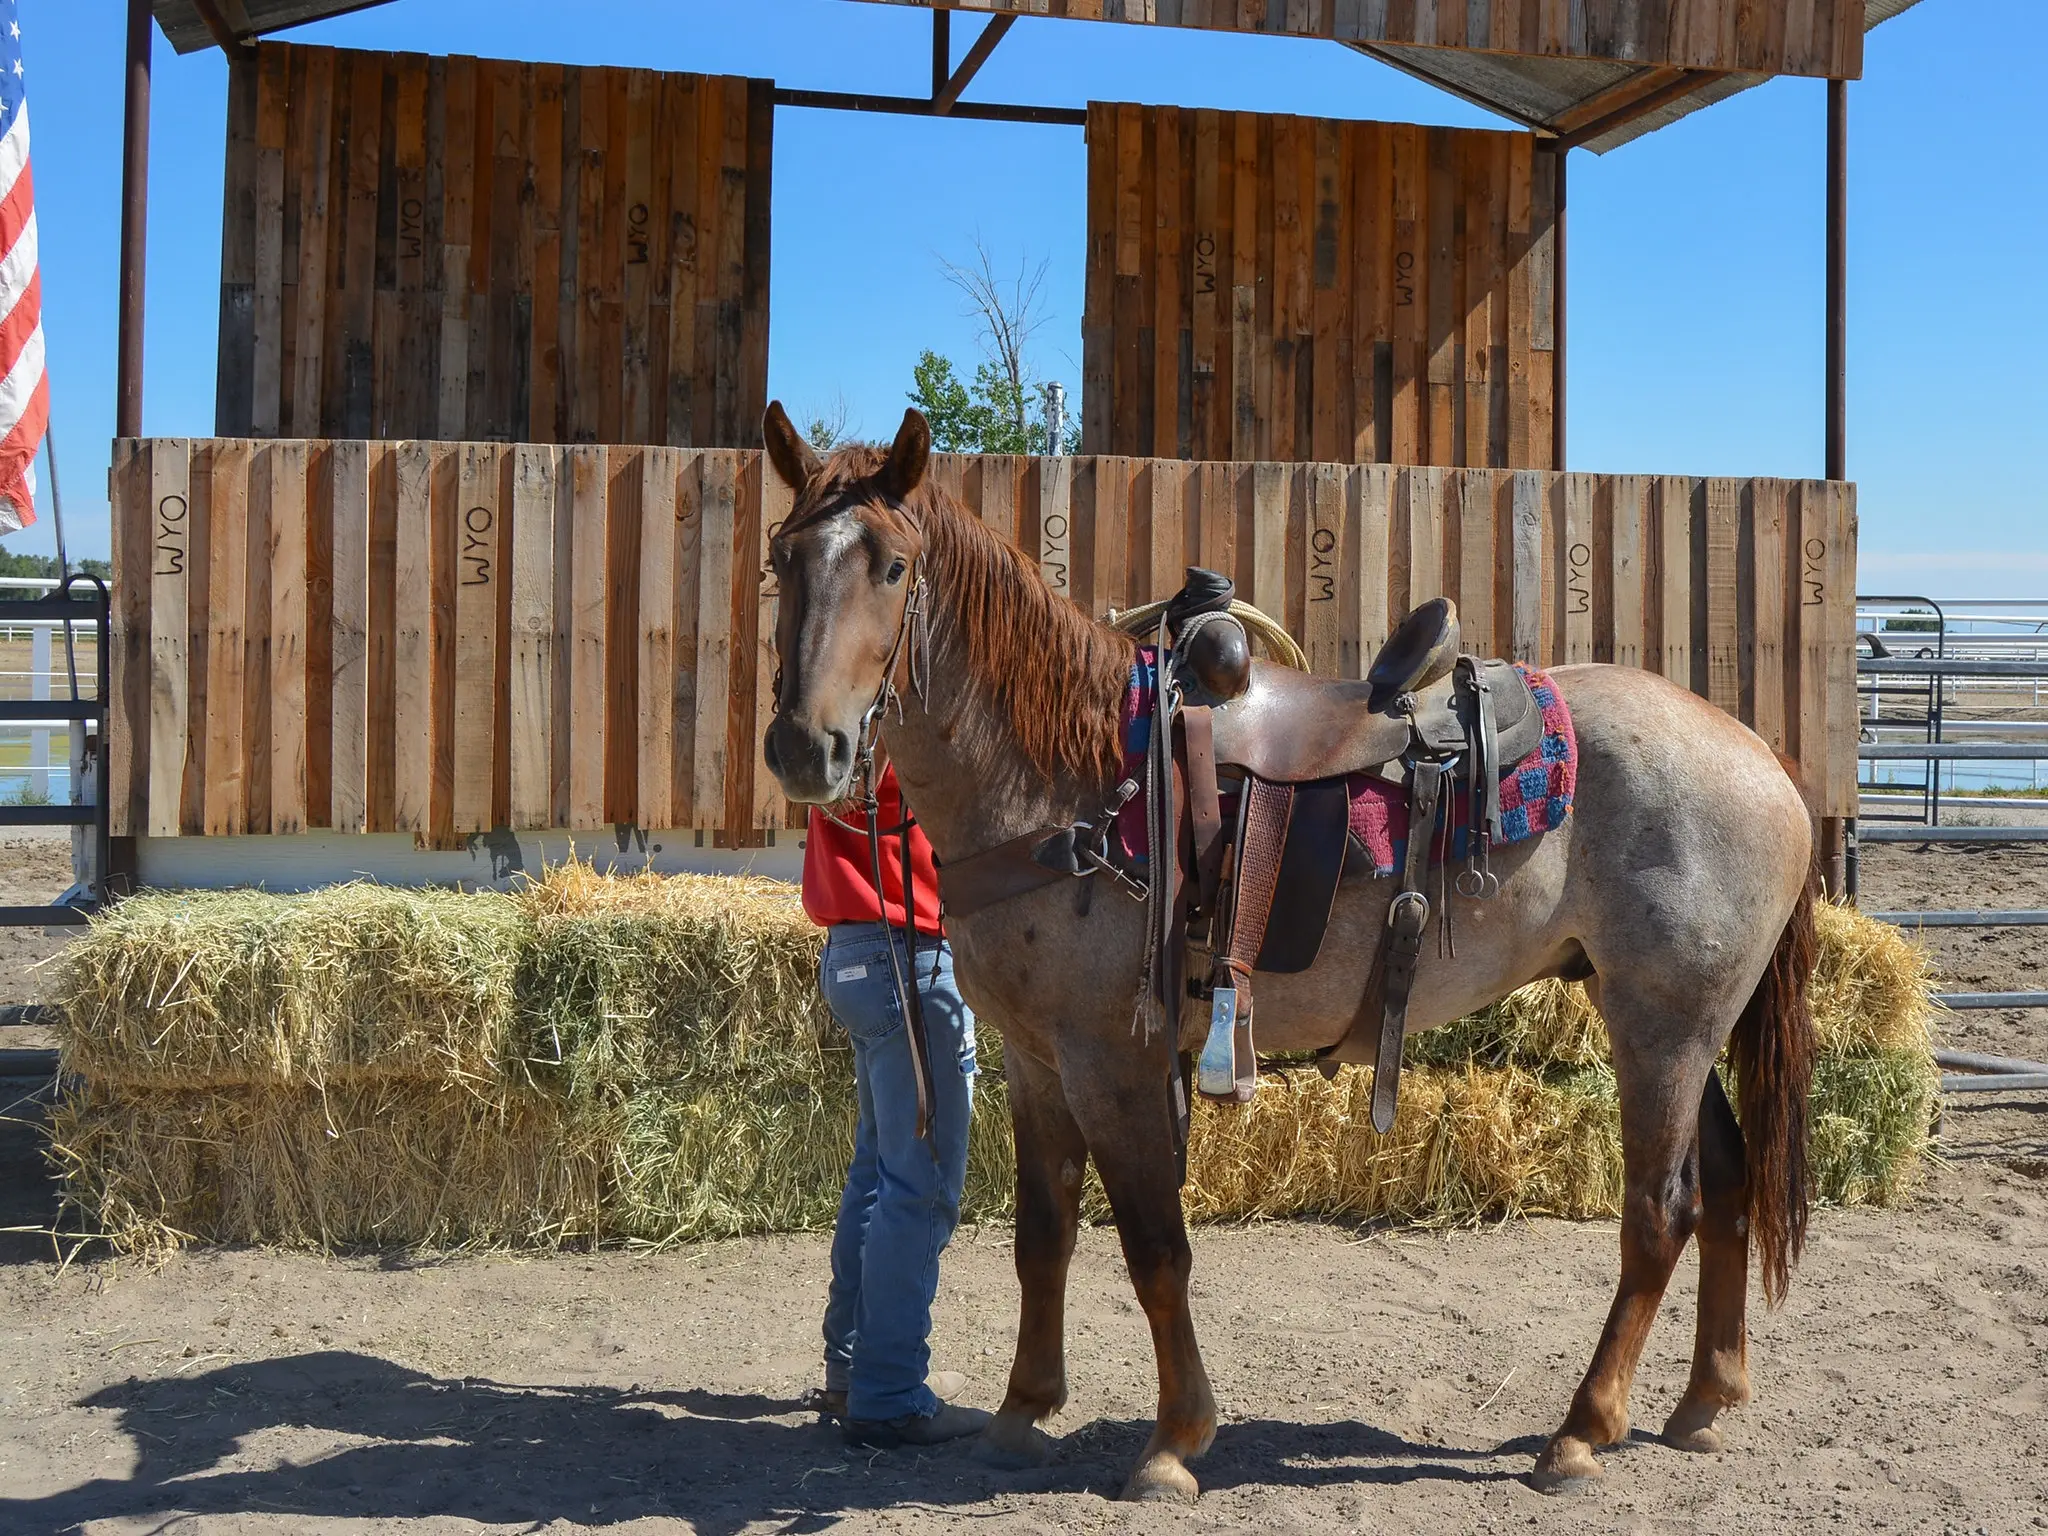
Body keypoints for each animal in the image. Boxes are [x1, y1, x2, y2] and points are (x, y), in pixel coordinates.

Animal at [761, 405, 1818, 1507]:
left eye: (891, 566)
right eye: (780, 557)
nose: (805, 747)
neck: (1069, 782)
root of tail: (1762, 755)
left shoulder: (1112, 1061)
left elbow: (1153, 1247)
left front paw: (1173, 1442)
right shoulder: (1034, 1058)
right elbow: (1042, 1235)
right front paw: (1021, 1413)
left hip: (1663, 1028)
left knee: (1658, 1213)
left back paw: (1581, 1431)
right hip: (1671, 1022)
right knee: (1729, 1184)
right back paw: (1703, 1402)